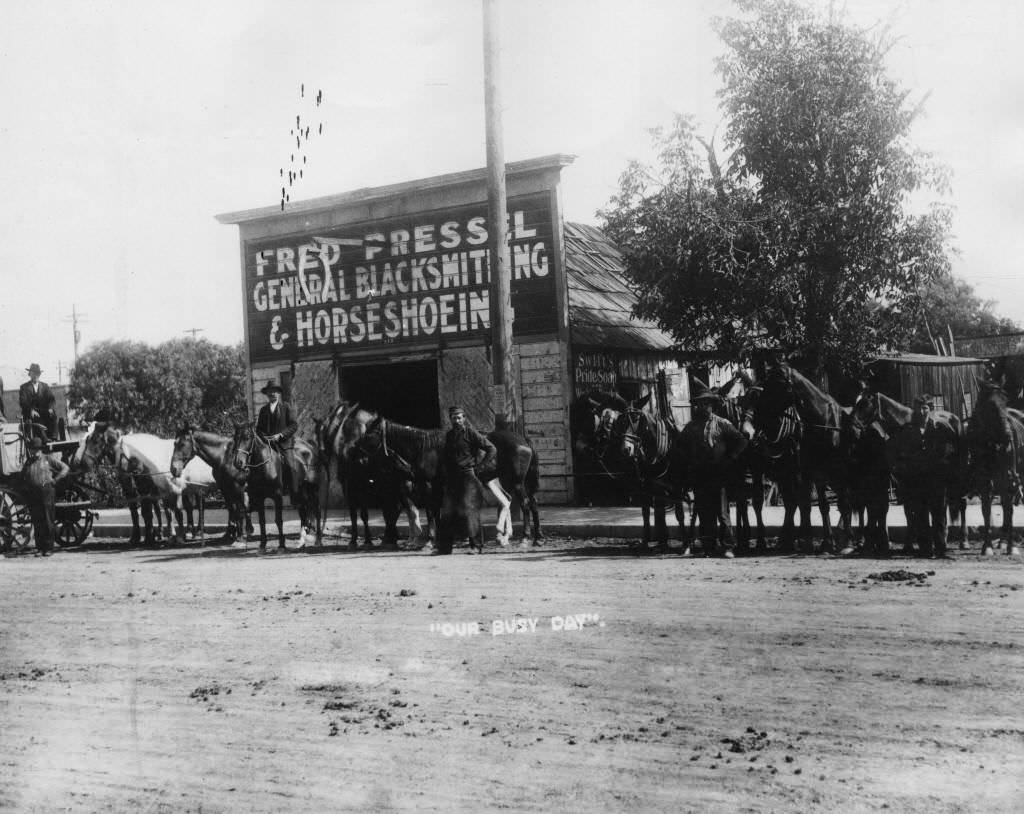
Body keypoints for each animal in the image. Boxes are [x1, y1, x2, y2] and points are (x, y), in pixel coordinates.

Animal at [231, 419, 319, 552]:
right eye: (235, 438)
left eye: (247, 437)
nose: (238, 462)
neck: (264, 465)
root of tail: (310, 448)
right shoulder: (259, 497)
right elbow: (262, 521)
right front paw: (262, 545)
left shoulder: (277, 496)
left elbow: (278, 520)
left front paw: (281, 545)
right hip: (299, 492)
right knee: (303, 512)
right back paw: (301, 542)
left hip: (312, 490)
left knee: (315, 510)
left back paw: (317, 540)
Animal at [962, 384, 1019, 557]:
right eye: (990, 405)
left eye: (1005, 401)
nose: (1008, 436)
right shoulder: (983, 480)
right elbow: (986, 510)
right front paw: (987, 546)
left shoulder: (1007, 477)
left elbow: (1008, 508)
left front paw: (1012, 546)